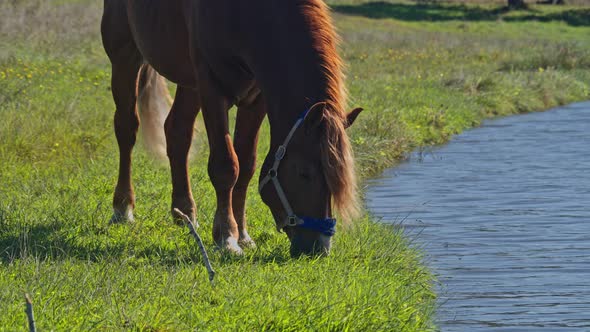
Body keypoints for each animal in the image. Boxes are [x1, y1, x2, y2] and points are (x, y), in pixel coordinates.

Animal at [100, 0, 360, 256]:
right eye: (304, 173)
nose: (320, 247)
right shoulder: (212, 89)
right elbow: (226, 166)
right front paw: (226, 236)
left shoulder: (256, 99)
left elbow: (245, 165)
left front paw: (242, 234)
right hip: (125, 55)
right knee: (126, 130)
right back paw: (123, 207)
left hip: (190, 83)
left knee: (177, 131)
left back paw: (185, 212)